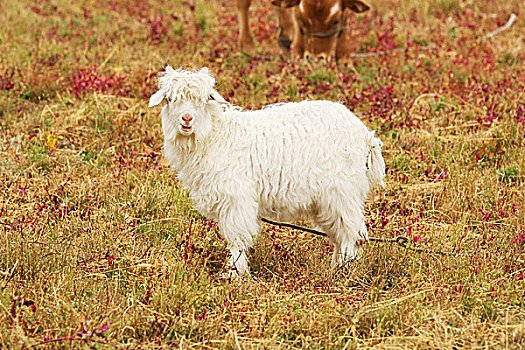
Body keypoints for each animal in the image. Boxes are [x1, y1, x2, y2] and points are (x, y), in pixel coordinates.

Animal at [147, 66, 384, 278]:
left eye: (204, 100)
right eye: (170, 99)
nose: (186, 119)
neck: (215, 136)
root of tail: (366, 136)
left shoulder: (237, 199)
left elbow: (238, 238)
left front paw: (234, 275)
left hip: (343, 192)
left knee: (352, 234)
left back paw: (343, 272)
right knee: (341, 234)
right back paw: (335, 268)